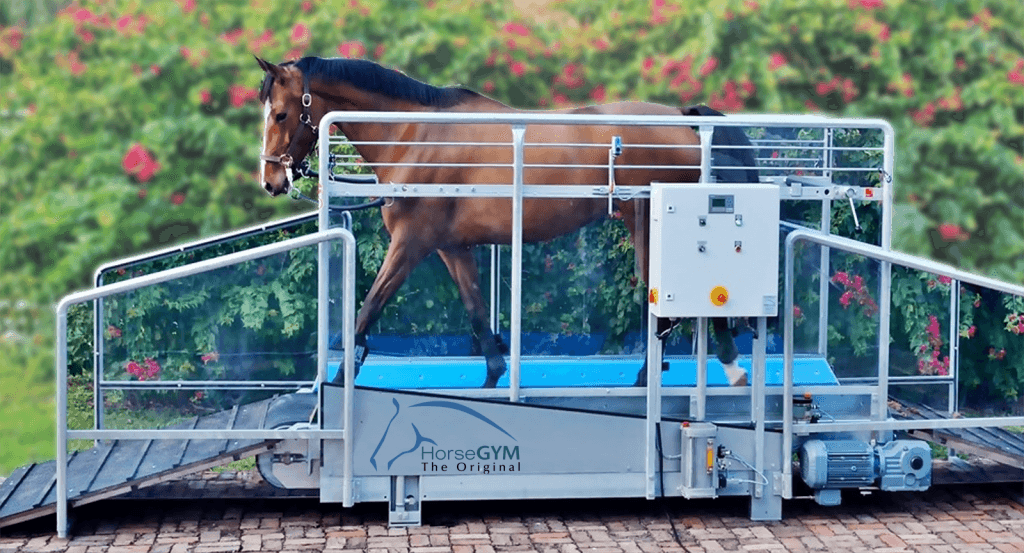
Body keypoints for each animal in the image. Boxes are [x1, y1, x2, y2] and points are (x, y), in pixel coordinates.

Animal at [255, 55, 758, 388]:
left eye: (281, 113)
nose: (271, 180)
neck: (414, 135)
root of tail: (684, 119)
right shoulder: (451, 248)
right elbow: (479, 319)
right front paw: (493, 381)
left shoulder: (410, 244)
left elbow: (366, 312)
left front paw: (336, 383)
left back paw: (719, 365)